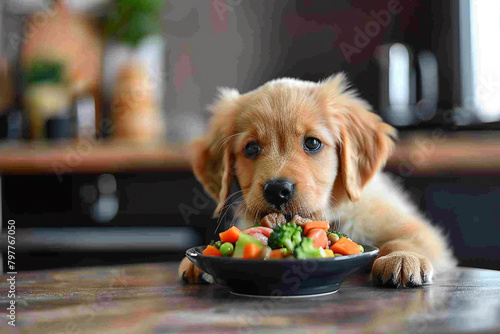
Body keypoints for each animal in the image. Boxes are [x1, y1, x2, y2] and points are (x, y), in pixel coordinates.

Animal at [181, 75, 458, 288]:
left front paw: (403, 258)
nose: (277, 191)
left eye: (312, 142)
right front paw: (197, 264)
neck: (332, 212)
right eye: (250, 148)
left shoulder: (415, 227)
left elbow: (405, 238)